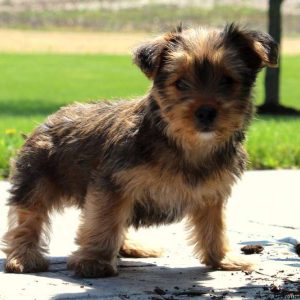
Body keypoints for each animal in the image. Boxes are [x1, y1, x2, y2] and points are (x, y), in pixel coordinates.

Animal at [2, 22, 278, 276]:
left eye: (227, 80)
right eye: (180, 83)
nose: (206, 112)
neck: (183, 144)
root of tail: (49, 119)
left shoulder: (212, 191)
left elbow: (214, 226)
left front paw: (222, 258)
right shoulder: (112, 184)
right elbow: (104, 221)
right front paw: (94, 261)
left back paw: (131, 247)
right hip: (37, 177)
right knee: (29, 216)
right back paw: (24, 257)